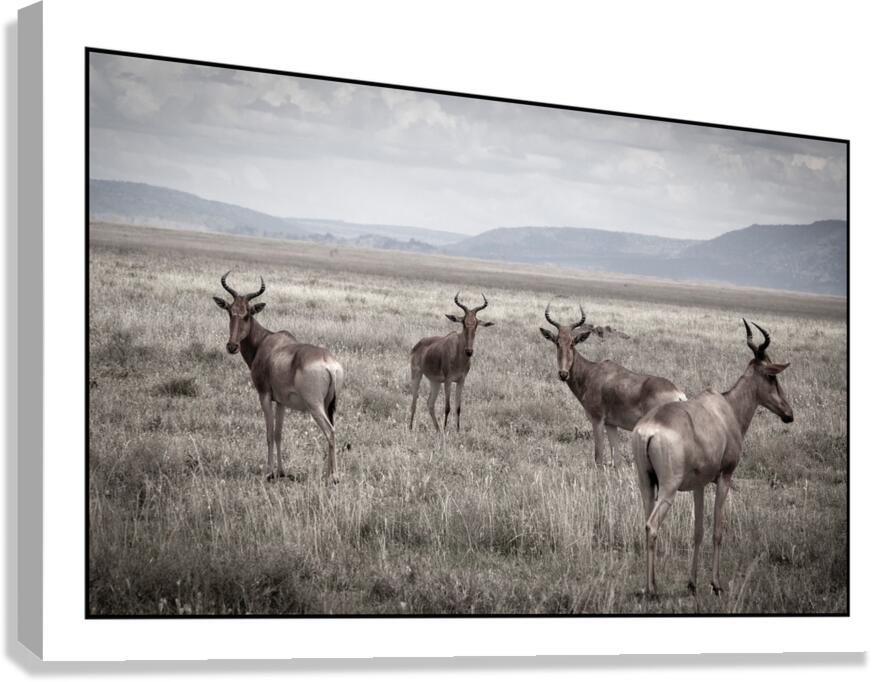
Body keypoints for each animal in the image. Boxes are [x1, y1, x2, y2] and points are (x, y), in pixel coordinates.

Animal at [212, 272, 344, 482]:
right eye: (230, 311)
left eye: (248, 314)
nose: (232, 346)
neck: (265, 341)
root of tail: (328, 363)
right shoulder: (281, 401)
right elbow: (278, 433)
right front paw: (281, 471)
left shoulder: (264, 395)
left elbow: (268, 433)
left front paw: (269, 472)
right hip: (329, 404)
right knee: (332, 430)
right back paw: (327, 473)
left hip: (314, 405)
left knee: (330, 432)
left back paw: (334, 477)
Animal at [408, 292, 494, 432]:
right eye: (463, 322)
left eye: (476, 324)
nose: (469, 351)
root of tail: (418, 344)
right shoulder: (448, 381)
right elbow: (447, 407)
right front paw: (445, 430)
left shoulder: (461, 381)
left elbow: (458, 407)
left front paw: (457, 431)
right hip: (416, 374)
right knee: (414, 401)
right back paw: (411, 428)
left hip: (435, 382)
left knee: (430, 403)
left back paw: (437, 430)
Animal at [540, 302, 685, 466]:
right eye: (557, 342)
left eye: (572, 343)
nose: (563, 374)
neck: (592, 372)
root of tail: (678, 394)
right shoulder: (611, 424)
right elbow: (616, 460)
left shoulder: (597, 420)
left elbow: (598, 458)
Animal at [632, 320, 793, 597]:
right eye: (772, 376)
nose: (788, 414)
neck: (727, 409)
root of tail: (649, 429)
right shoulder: (725, 477)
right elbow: (717, 531)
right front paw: (716, 584)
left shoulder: (699, 485)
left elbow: (698, 531)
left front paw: (692, 583)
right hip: (668, 488)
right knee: (652, 526)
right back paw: (653, 590)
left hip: (646, 482)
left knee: (645, 522)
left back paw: (647, 585)